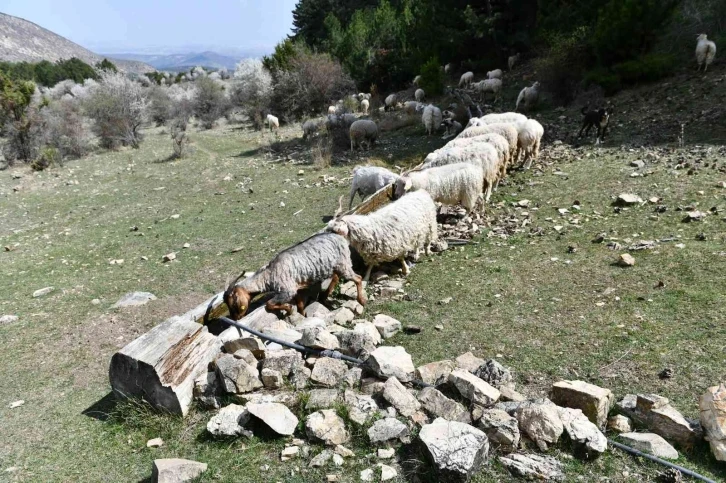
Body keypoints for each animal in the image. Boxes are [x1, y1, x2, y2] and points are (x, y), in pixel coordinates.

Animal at [222, 233, 366, 320]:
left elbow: (269, 304)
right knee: (336, 277)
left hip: (343, 264)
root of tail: (340, 236)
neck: (269, 274)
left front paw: (289, 309)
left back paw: (361, 300)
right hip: (335, 266)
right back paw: (324, 296)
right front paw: (303, 315)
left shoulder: (287, 290)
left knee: (358, 278)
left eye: (234, 301)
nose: (236, 318)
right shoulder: (295, 289)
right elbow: (300, 305)